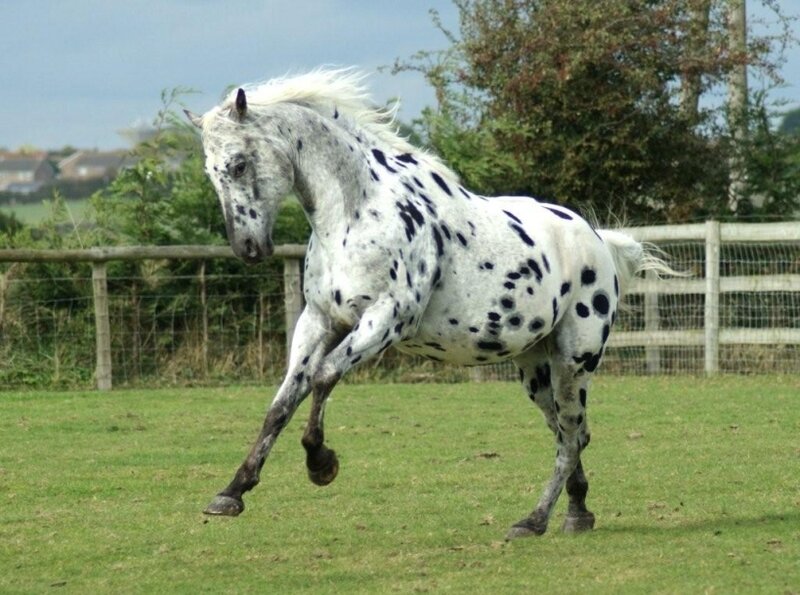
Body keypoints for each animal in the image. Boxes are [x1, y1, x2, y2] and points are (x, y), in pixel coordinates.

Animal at [186, 68, 672, 539]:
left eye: (239, 163)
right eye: (210, 173)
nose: (248, 248)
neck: (357, 213)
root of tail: (597, 241)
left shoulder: (385, 320)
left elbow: (323, 377)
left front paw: (321, 464)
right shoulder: (319, 321)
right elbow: (283, 402)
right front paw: (232, 493)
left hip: (575, 359)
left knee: (569, 437)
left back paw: (533, 520)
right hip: (535, 366)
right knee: (572, 432)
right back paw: (577, 512)